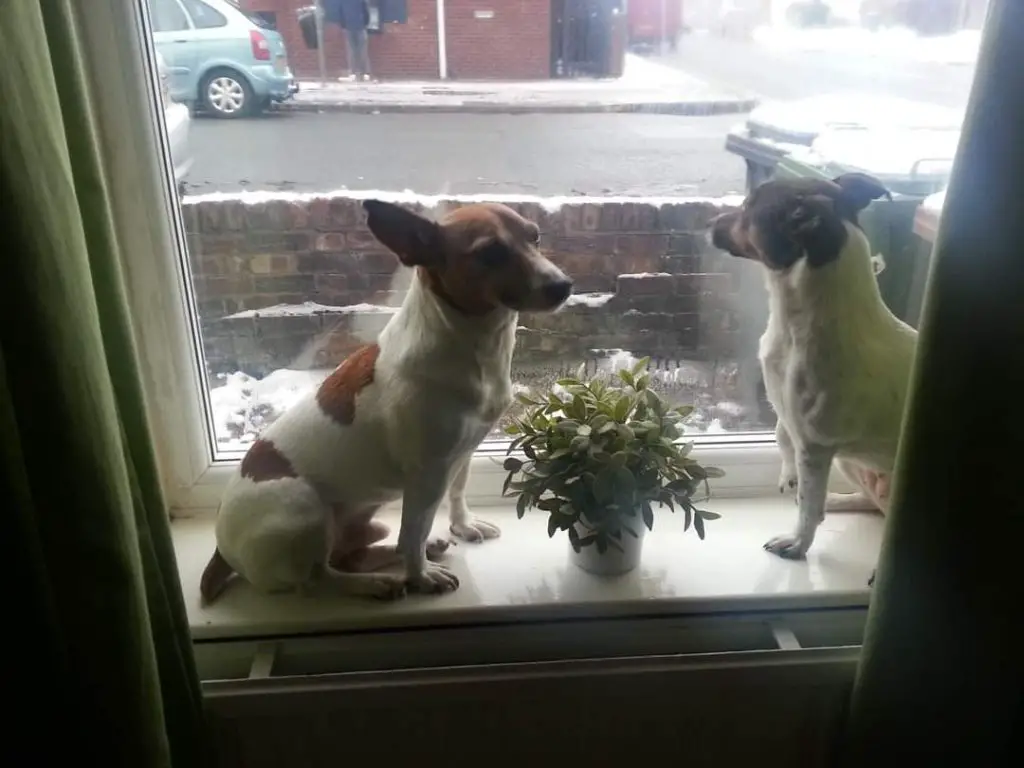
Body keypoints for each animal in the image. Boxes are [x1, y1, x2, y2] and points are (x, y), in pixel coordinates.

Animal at [195, 201, 573, 606]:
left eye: (535, 237)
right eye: (491, 252)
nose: (564, 286)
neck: (474, 346)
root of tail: (221, 549)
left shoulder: (464, 452)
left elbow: (457, 493)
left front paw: (462, 526)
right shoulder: (427, 475)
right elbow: (413, 532)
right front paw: (421, 577)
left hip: (366, 523)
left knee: (350, 556)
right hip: (305, 511)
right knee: (320, 576)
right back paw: (373, 583)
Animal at [712, 176, 921, 581]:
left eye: (747, 207)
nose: (710, 221)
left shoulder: (816, 445)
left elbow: (808, 508)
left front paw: (797, 544)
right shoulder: (789, 415)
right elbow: (782, 436)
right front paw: (789, 477)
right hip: (852, 463)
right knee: (869, 503)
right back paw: (837, 501)